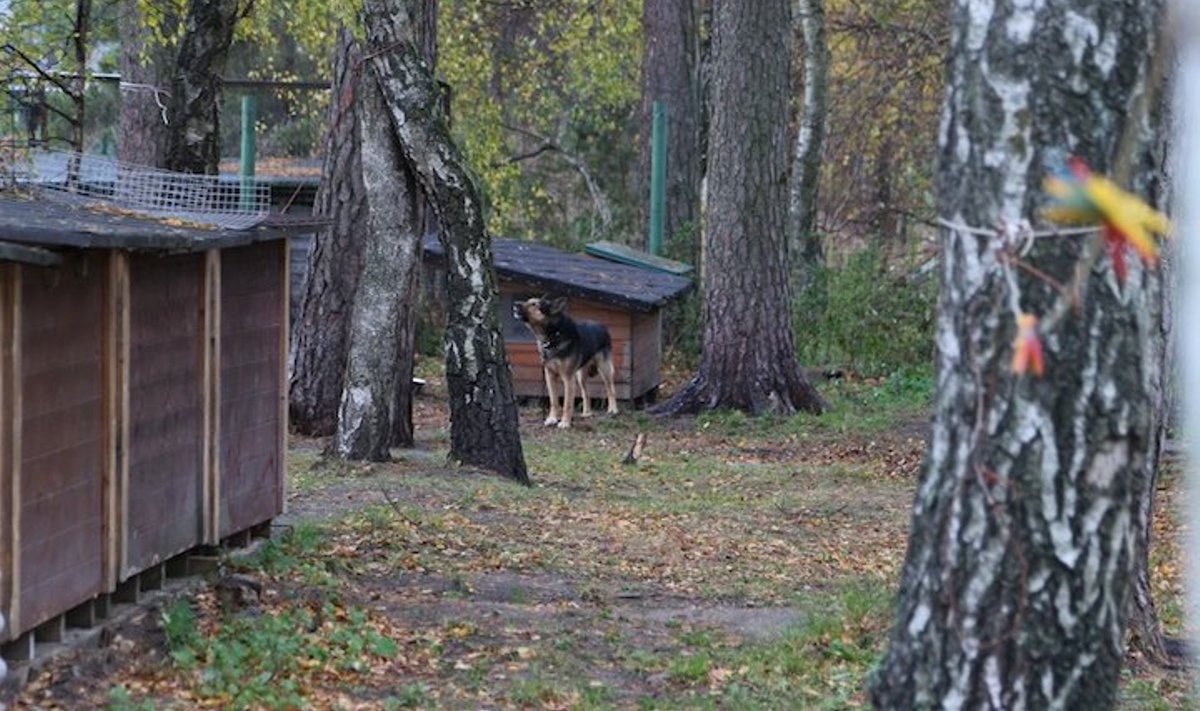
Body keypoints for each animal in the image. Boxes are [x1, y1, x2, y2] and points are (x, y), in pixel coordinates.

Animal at [511, 294, 619, 427]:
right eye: (528, 300)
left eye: (534, 304)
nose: (515, 304)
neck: (553, 335)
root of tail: (602, 326)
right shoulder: (550, 376)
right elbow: (554, 401)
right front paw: (552, 418)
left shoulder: (568, 378)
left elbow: (567, 403)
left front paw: (565, 422)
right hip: (580, 376)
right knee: (586, 393)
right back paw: (587, 413)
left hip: (604, 369)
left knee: (611, 388)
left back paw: (613, 409)